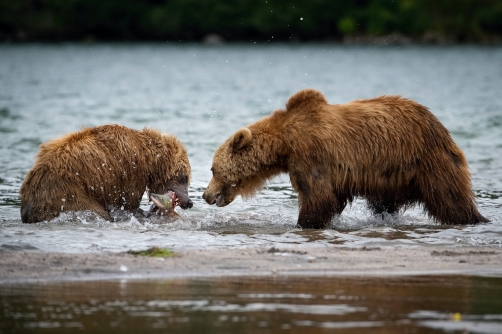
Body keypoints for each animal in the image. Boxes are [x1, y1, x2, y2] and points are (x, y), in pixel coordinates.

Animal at [20, 124, 192, 223]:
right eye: (184, 178)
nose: (189, 202)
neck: (150, 158)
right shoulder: (130, 171)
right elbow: (129, 204)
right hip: (67, 193)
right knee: (95, 211)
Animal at [202, 88, 488, 228]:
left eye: (213, 169)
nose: (205, 195)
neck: (284, 144)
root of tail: (438, 125)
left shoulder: (311, 155)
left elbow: (317, 196)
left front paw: (304, 223)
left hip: (427, 159)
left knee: (449, 196)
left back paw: (474, 218)